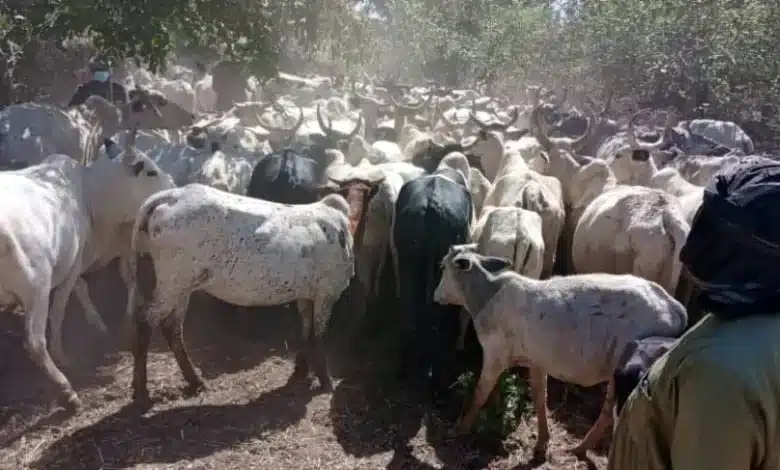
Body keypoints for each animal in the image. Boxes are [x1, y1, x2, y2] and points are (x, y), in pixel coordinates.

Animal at [396, 168, 476, 400]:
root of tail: (431, 205)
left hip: (407, 260)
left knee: (408, 316)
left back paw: (403, 370)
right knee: (440, 320)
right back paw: (439, 387)